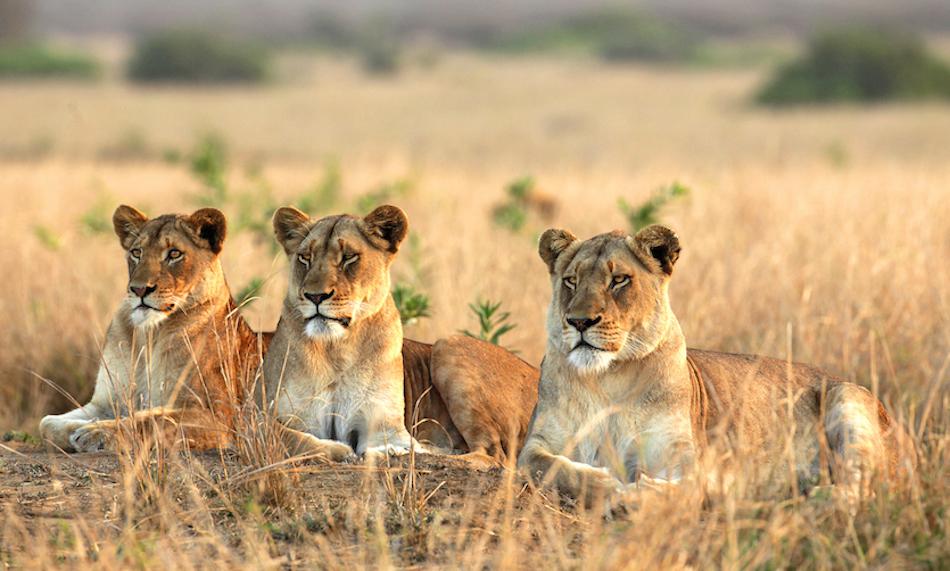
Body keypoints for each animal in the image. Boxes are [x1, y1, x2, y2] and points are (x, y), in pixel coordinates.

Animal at [39, 205, 267, 452]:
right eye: (136, 252)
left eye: (174, 254)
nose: (139, 289)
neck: (148, 335)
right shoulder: (106, 402)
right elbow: (47, 423)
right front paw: (81, 428)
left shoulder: (220, 417)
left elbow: (152, 420)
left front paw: (96, 432)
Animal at [262, 205, 538, 464]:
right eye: (304, 258)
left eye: (349, 258)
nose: (315, 296)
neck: (336, 349)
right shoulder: (265, 415)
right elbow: (287, 436)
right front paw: (340, 451)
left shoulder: (383, 424)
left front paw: (391, 451)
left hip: (448, 344)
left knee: (493, 454)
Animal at [518, 225, 916, 503]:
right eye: (571, 280)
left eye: (619, 280)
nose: (579, 322)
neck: (607, 378)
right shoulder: (535, 445)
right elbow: (551, 468)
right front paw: (604, 483)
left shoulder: (678, 454)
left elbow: (687, 485)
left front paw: (649, 492)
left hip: (848, 398)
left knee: (863, 484)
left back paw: (820, 497)